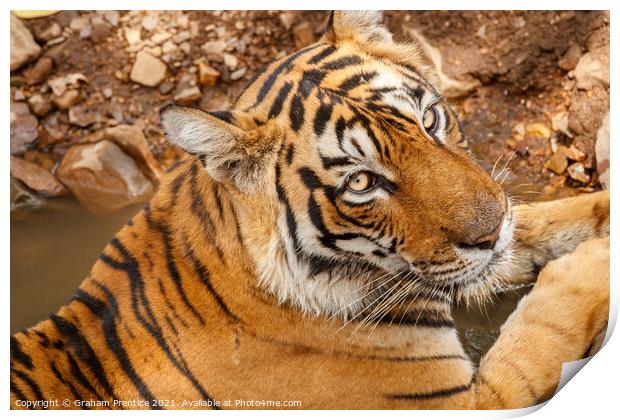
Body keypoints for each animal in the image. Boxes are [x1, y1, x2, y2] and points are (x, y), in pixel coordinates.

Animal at [10, 11, 612, 408]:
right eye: (362, 182)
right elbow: (542, 324)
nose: (490, 233)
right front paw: (590, 264)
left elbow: (551, 221)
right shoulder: (459, 401)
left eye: (430, 120)